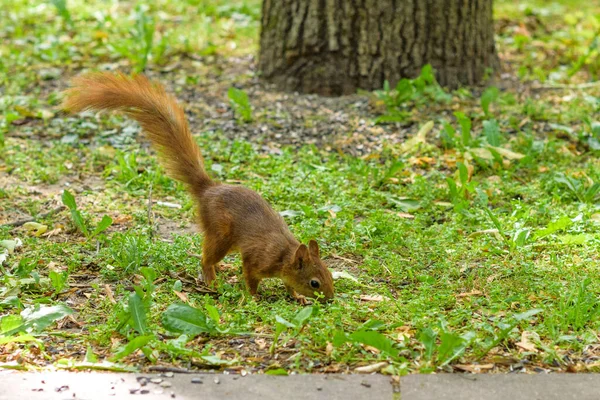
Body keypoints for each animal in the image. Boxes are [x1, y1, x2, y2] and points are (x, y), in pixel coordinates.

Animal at [62, 73, 336, 302]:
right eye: (314, 283)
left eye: (330, 274)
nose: (330, 299)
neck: (284, 255)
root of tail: (208, 190)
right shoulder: (257, 259)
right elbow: (250, 277)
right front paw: (253, 297)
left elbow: (288, 285)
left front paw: (296, 297)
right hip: (221, 234)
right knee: (206, 258)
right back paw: (213, 281)